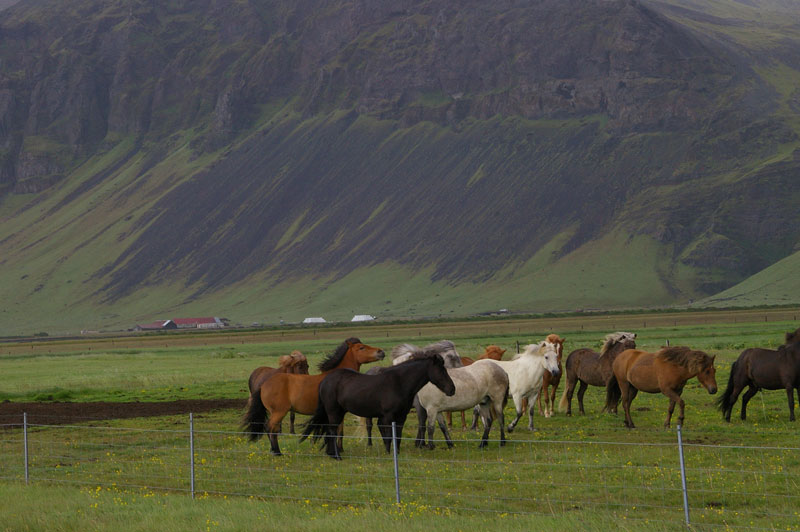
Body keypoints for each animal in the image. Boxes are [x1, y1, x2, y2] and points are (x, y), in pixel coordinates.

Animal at [241, 338, 384, 456]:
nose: (381, 352)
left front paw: (340, 449)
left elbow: (340, 431)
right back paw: (277, 452)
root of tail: (264, 385)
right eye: (361, 347)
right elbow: (336, 430)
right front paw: (336, 450)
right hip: (279, 412)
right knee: (270, 428)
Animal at [298, 352, 454, 460]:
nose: (452, 389)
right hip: (333, 412)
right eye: (441, 370)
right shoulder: (388, 416)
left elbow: (398, 435)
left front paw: (396, 453)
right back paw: (337, 456)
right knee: (332, 431)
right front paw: (389, 453)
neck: (399, 383)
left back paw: (331, 454)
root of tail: (325, 381)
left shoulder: (401, 416)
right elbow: (389, 435)